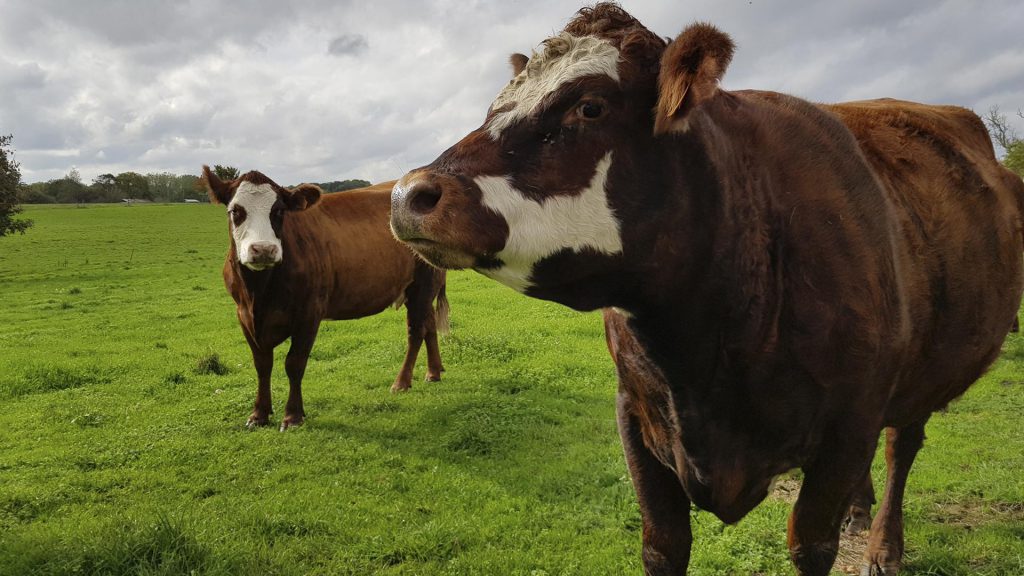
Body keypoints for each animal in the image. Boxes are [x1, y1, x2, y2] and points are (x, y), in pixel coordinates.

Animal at [203, 166, 448, 431]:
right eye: (235, 211)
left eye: (278, 211)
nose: (263, 249)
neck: (259, 293)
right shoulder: (244, 315)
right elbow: (262, 364)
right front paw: (259, 414)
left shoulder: (309, 312)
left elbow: (294, 363)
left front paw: (293, 416)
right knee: (429, 325)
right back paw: (433, 372)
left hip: (423, 284)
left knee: (416, 331)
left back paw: (402, 382)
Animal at [388, 4, 1024, 575]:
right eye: (496, 105)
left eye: (590, 107)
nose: (408, 194)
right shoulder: (635, 414)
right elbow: (662, 545)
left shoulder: (850, 421)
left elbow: (810, 545)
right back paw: (860, 513)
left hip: (926, 369)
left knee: (901, 443)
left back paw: (883, 548)